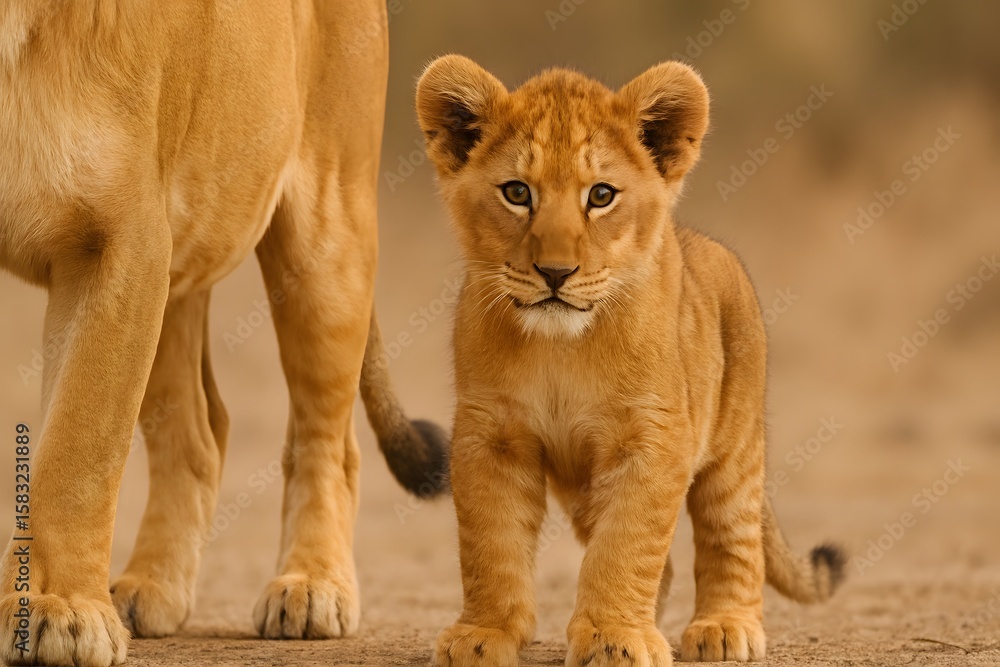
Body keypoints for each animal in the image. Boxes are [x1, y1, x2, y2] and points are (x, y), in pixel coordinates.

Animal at [0, 3, 447, 666]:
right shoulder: (135, 250)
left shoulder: (117, 240)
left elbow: (79, 448)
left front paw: (62, 610)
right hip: (179, 262)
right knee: (199, 432)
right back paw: (149, 588)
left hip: (326, 237)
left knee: (326, 440)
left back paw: (311, 587)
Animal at [415, 55, 844, 666]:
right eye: (517, 192)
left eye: (601, 196)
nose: (555, 272)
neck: (560, 347)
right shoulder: (490, 433)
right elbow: (490, 542)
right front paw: (484, 634)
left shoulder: (653, 435)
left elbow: (627, 542)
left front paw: (614, 636)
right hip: (582, 484)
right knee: (656, 564)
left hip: (735, 447)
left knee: (730, 535)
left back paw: (725, 626)